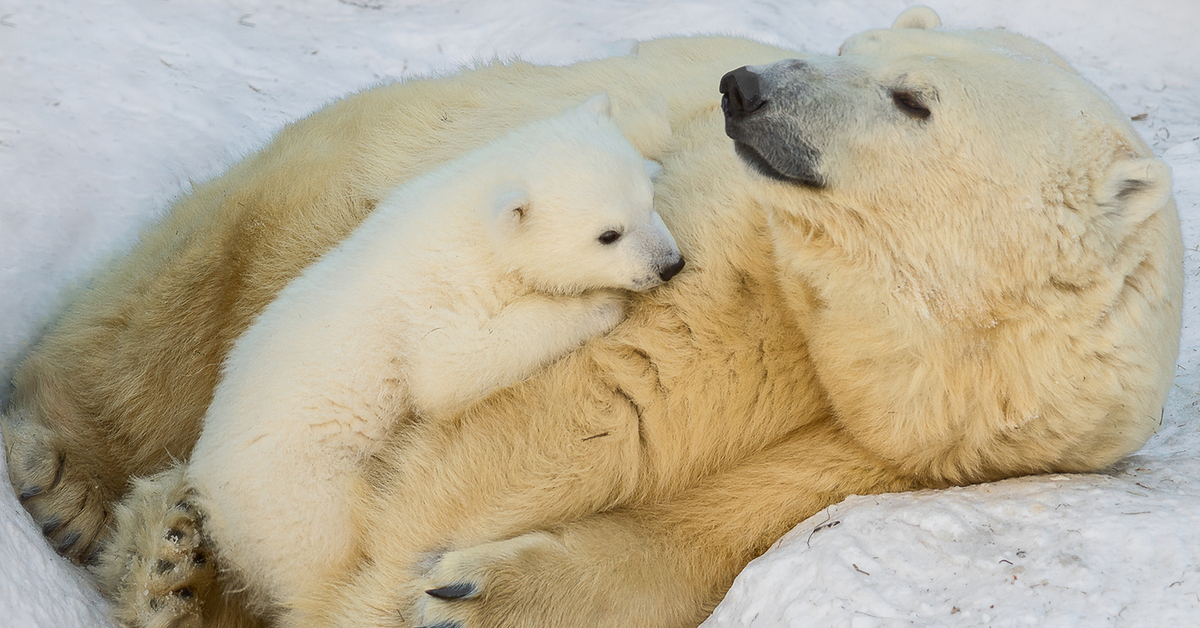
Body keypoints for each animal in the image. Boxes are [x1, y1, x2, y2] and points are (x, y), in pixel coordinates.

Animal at [0, 7, 1180, 628]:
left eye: (913, 99)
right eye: (851, 43)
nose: (743, 87)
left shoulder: (918, 447)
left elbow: (699, 536)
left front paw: (463, 592)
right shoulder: (738, 263)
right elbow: (580, 407)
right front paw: (378, 580)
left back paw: (173, 562)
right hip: (332, 178)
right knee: (175, 304)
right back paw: (81, 490)